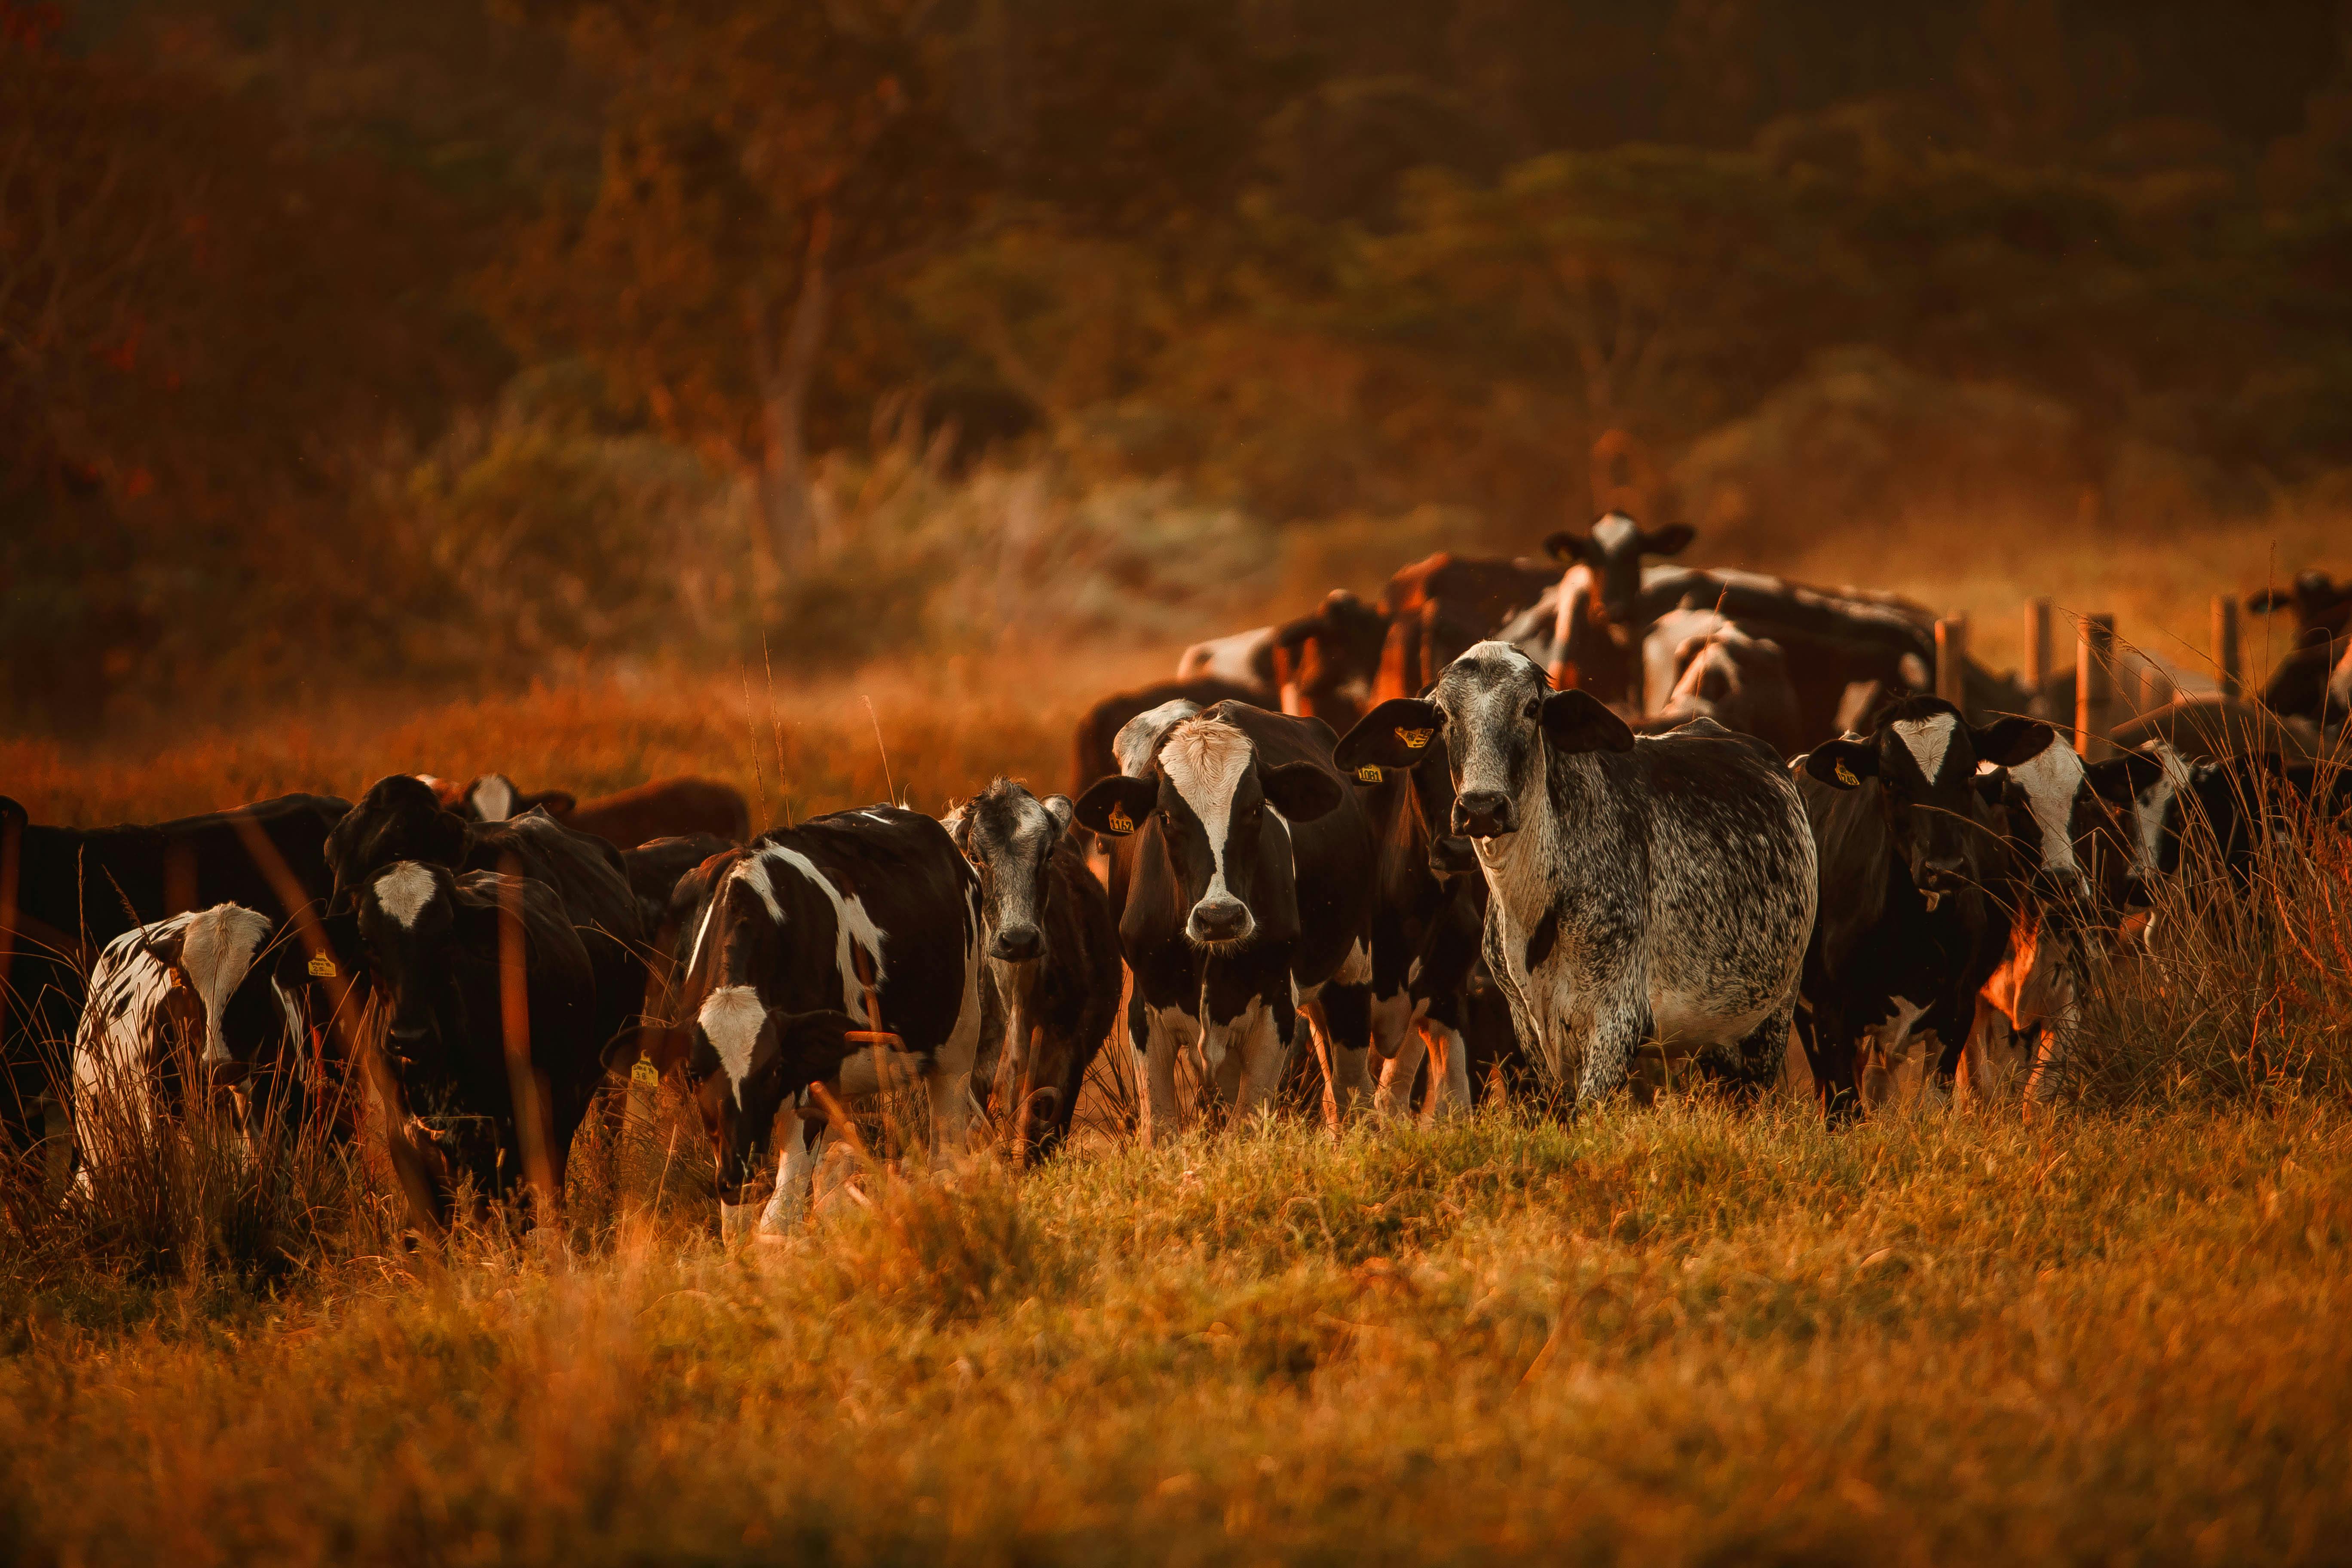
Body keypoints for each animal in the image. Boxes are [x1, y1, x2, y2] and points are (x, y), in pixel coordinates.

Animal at [346, 862, 605, 1226]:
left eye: (446, 936)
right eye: (368, 940)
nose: (410, 1036)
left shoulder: (503, 1133)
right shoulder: (405, 1139)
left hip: (565, 1109)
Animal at [661, 808, 984, 1239]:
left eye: (773, 1070)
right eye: (695, 1074)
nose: (739, 1175)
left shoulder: (807, 1087)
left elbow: (778, 1216)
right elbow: (737, 1223)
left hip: (960, 1041)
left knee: (946, 1151)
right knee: (833, 1184)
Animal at [1076, 702, 1375, 1135]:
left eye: (1256, 809)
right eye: (1165, 816)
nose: (1220, 918)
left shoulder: (1275, 1013)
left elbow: (1245, 1125)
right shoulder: (1145, 1013)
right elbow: (1161, 1129)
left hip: (1351, 973)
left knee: (1351, 1093)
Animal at [1334, 642, 1817, 1105]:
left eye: (1532, 708)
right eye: (1442, 715)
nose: (1482, 808)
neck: (1534, 906)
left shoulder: (1616, 1023)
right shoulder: (1530, 1034)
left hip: (1768, 1026)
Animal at [1791, 698, 2061, 1116]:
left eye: (1969, 772)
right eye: (1889, 779)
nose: (1944, 868)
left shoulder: (1957, 1010)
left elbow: (1934, 1103)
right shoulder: (1829, 1010)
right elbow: (1843, 1107)